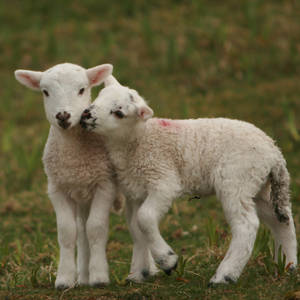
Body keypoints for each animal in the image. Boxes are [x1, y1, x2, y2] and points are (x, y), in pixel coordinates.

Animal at [14, 64, 119, 290]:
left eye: (82, 89)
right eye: (45, 92)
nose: (63, 116)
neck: (74, 159)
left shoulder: (104, 184)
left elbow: (96, 229)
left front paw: (99, 277)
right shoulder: (57, 188)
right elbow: (68, 232)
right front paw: (64, 279)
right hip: (82, 197)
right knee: (82, 230)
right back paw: (83, 277)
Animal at [80, 75, 298, 286]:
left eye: (119, 112)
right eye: (99, 97)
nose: (85, 115)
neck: (138, 140)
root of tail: (274, 153)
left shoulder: (163, 180)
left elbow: (145, 218)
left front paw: (167, 260)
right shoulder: (135, 191)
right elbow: (136, 228)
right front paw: (138, 274)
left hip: (236, 179)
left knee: (247, 225)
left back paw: (224, 276)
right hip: (260, 186)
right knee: (281, 220)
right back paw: (288, 266)